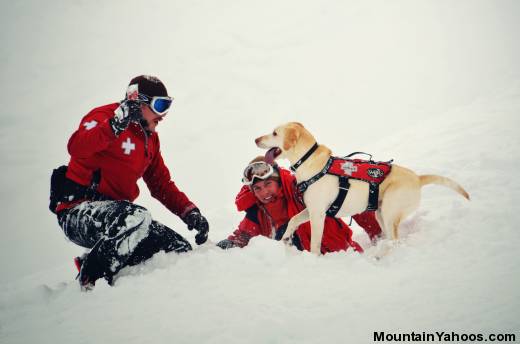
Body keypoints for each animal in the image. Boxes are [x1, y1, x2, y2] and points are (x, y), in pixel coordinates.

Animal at [254, 122, 470, 254]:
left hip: (390, 212)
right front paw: (286, 237)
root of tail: (417, 178)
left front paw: (313, 259)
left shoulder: (318, 214)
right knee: (391, 239)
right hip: (380, 214)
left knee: (395, 240)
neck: (309, 162)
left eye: (274, 133)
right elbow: (293, 220)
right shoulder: (311, 209)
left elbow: (315, 242)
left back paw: (379, 257)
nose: (255, 139)